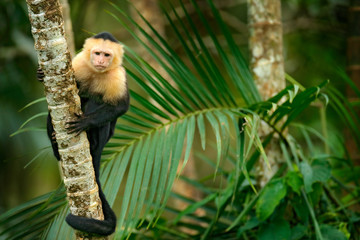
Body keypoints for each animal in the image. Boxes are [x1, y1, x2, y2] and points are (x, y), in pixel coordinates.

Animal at [37, 31, 129, 236]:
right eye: (97, 53)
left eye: (107, 55)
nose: (101, 61)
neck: (97, 72)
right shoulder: (79, 63)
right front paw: (39, 74)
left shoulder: (118, 77)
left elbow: (120, 107)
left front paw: (86, 122)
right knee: (53, 111)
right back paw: (55, 144)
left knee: (96, 104)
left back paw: (92, 140)